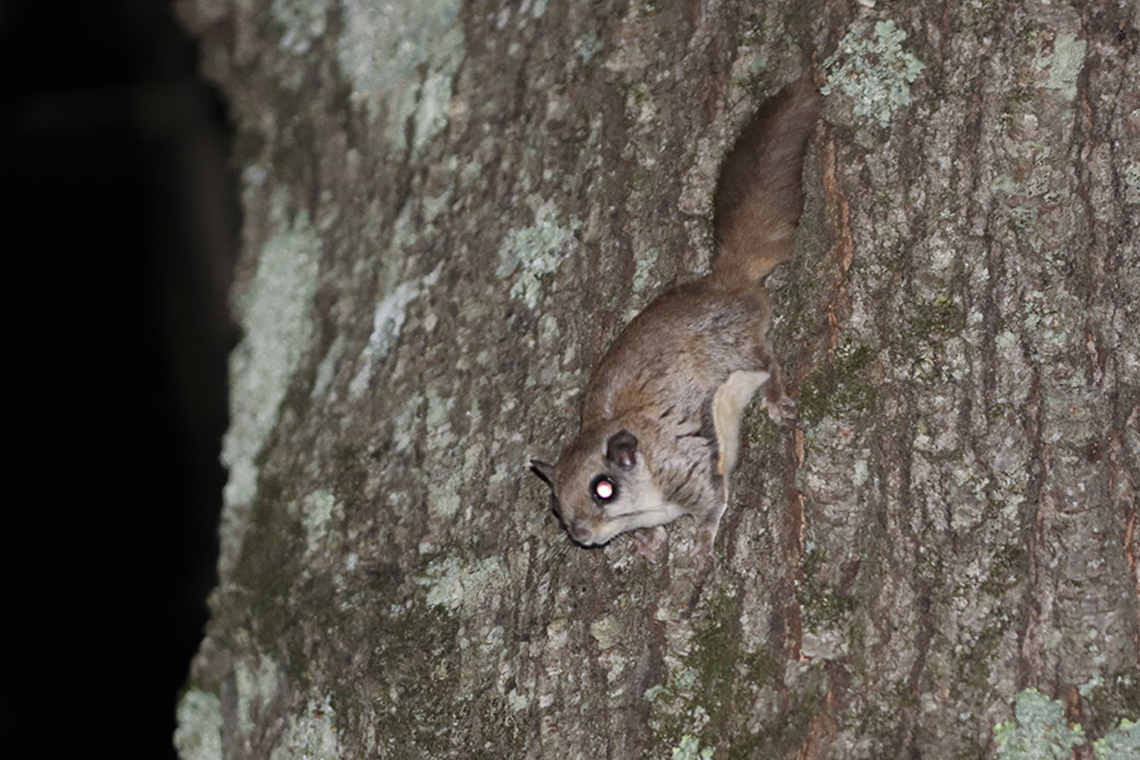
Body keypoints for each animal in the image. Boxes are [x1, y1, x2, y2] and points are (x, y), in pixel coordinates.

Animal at [531, 75, 821, 563]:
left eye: (603, 489)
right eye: (555, 505)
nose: (582, 536)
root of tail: (728, 282)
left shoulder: (689, 467)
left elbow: (713, 502)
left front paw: (700, 547)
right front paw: (649, 544)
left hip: (735, 350)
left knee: (767, 361)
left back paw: (776, 398)